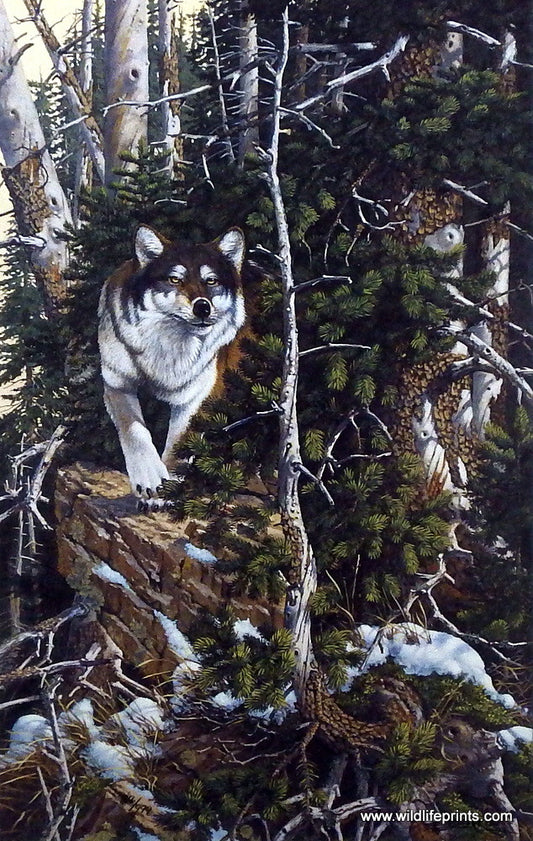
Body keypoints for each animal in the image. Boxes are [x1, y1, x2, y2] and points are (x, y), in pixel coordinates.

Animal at [98, 225, 246, 503]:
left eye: (211, 281)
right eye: (174, 280)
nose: (202, 308)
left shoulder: (199, 395)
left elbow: (179, 443)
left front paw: (166, 490)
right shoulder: (117, 384)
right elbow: (135, 431)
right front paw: (150, 479)